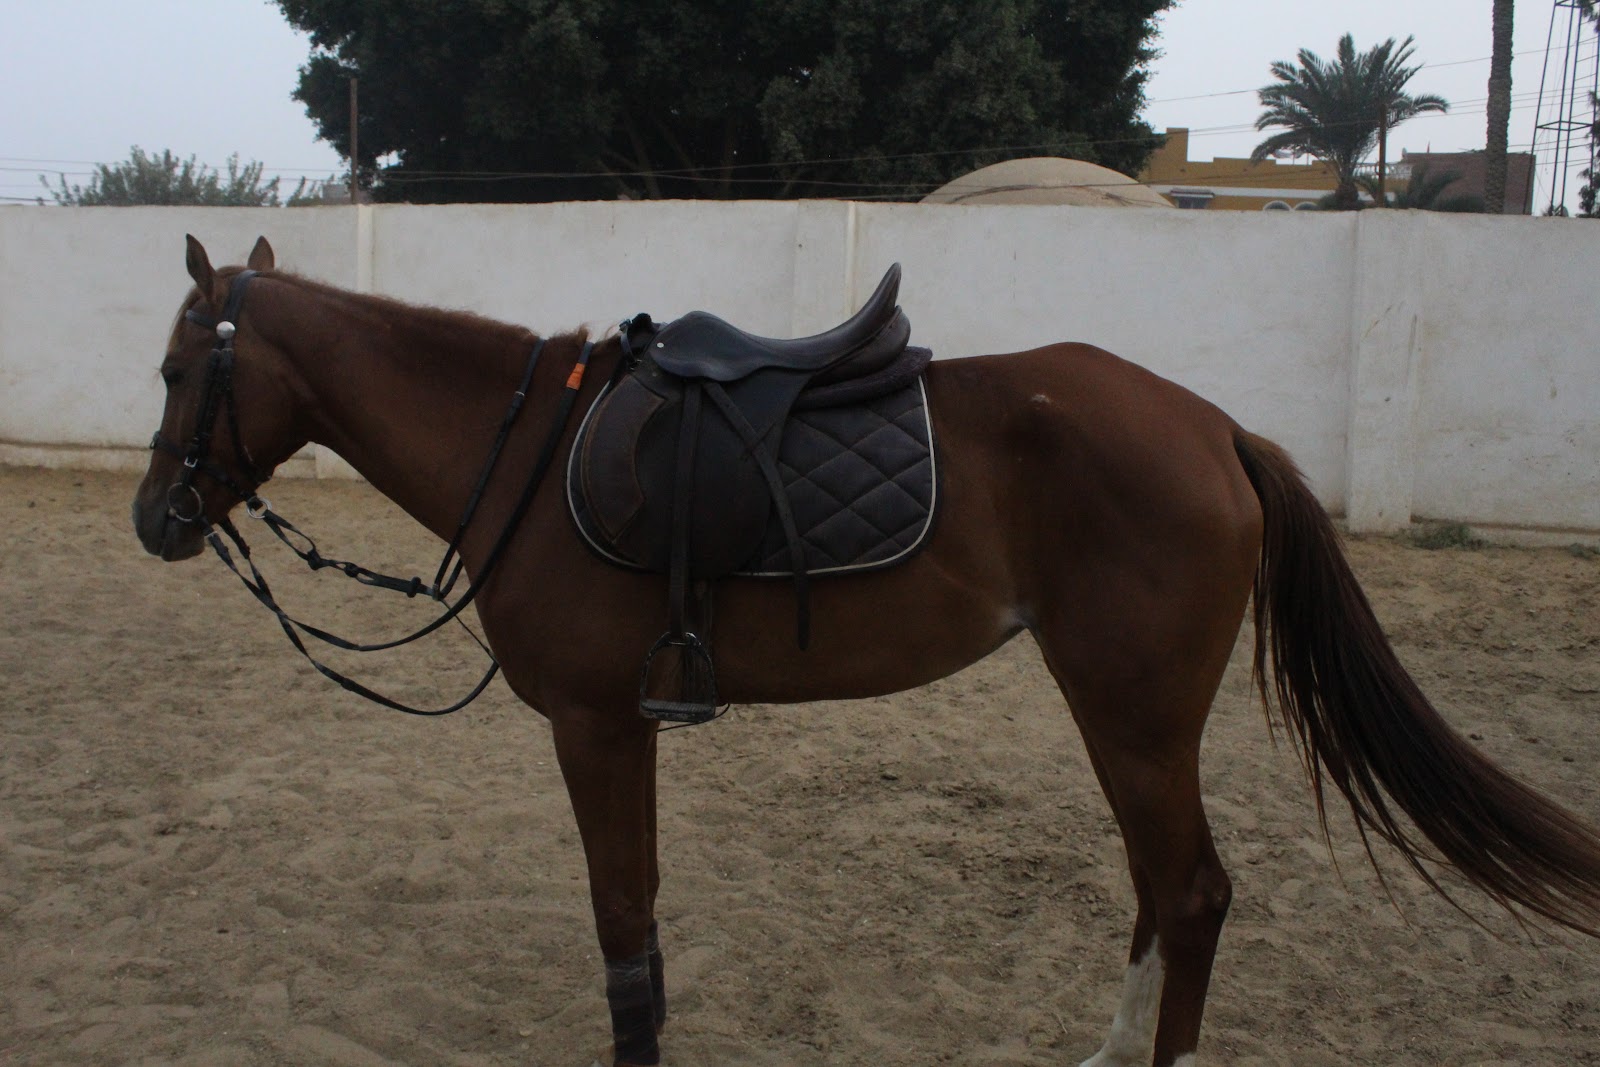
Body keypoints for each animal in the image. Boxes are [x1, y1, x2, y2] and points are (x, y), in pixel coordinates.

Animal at [132, 236, 1600, 1067]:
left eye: (173, 372)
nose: (154, 518)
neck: (533, 458)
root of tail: (1216, 428)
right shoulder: (624, 725)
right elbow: (639, 917)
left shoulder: (594, 724)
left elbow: (619, 920)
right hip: (1126, 715)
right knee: (1158, 890)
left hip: (1130, 711)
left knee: (1189, 894)